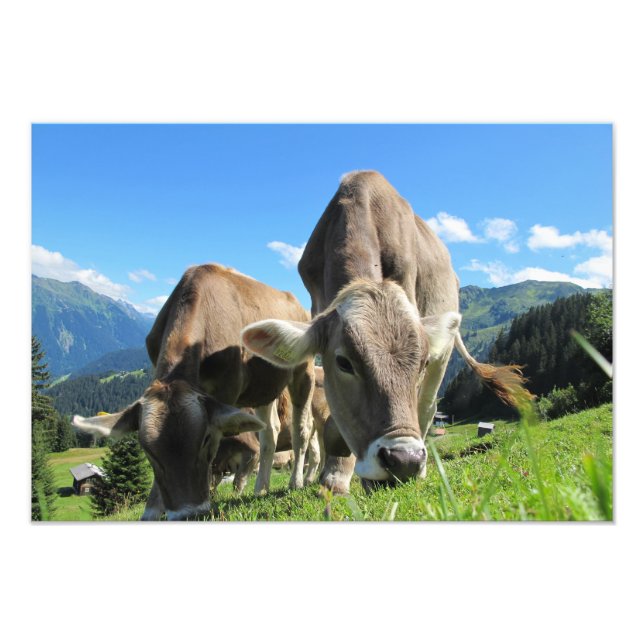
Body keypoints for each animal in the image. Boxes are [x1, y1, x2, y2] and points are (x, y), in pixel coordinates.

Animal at [73, 264, 315, 519]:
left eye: (205, 439)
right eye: (147, 450)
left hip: (304, 371)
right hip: (263, 386)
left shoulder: (226, 391)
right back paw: (261, 488)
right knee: (270, 432)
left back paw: (296, 482)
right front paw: (152, 511)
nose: (188, 514)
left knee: (302, 428)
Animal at [242, 171, 532, 493]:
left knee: (427, 407)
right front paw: (335, 476)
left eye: (421, 362)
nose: (405, 460)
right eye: (343, 362)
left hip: (443, 356)